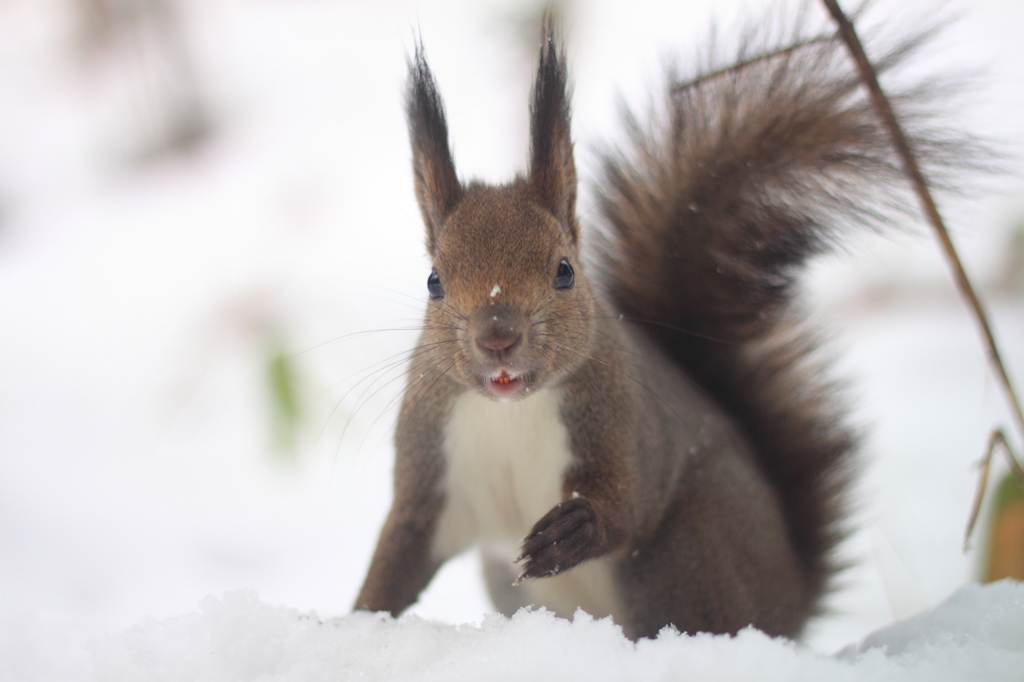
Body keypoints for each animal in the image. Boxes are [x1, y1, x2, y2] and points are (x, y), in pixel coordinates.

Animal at [352, 10, 966, 638]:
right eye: (434, 280)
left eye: (565, 271)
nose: (497, 338)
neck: (510, 413)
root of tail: (789, 602)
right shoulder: (429, 477)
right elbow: (398, 554)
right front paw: (358, 619)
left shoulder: (627, 423)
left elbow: (630, 501)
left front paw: (573, 531)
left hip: (683, 554)